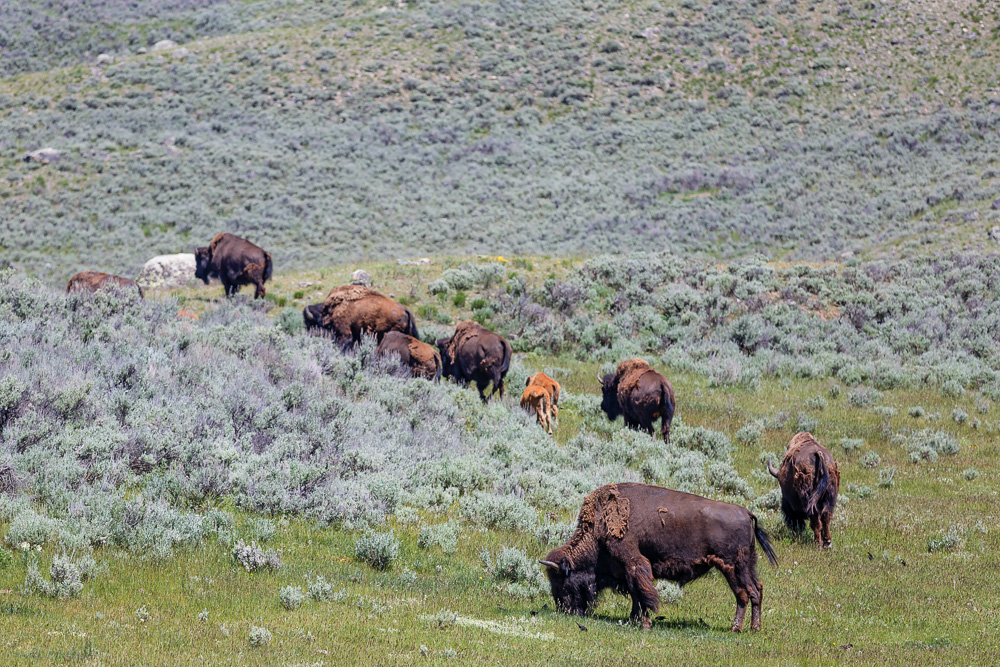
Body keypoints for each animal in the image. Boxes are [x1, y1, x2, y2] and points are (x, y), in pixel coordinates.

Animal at [544, 482, 776, 636]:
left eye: (561, 580)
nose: (563, 609)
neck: (600, 525)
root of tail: (746, 513)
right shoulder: (628, 572)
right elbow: (636, 596)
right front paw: (633, 620)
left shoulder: (634, 565)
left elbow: (643, 595)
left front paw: (644, 623)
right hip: (748, 566)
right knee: (757, 590)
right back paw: (754, 627)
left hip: (732, 568)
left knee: (744, 594)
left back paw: (737, 628)